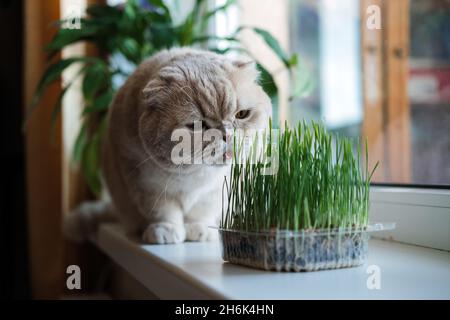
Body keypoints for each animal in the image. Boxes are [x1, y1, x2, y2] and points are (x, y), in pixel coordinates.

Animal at [64, 47, 270, 242]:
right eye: (198, 125)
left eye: (242, 114)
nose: (228, 135)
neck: (194, 174)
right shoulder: (145, 183)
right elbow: (163, 212)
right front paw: (166, 231)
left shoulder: (215, 191)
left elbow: (201, 212)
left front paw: (198, 229)